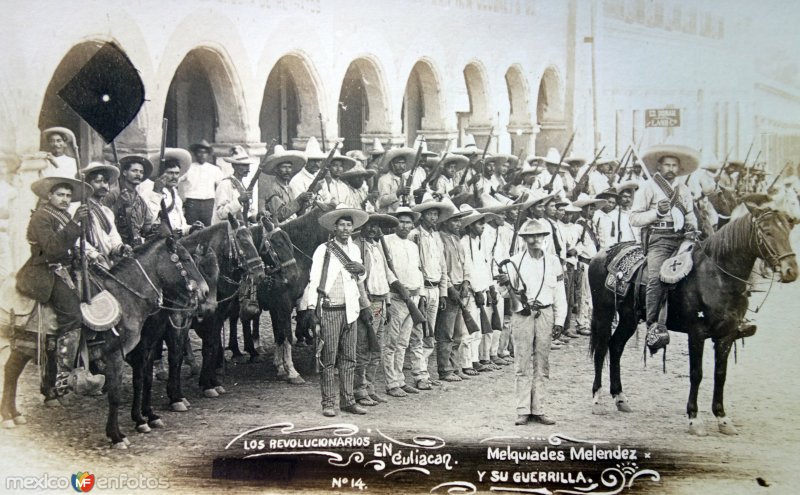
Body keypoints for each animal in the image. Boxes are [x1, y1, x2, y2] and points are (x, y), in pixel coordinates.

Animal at [588, 203, 792, 436]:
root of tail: (603, 254)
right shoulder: (696, 333)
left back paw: (620, 398)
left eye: (788, 230)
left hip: (630, 317)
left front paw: (722, 418)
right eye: (766, 232)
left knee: (616, 347)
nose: (791, 270)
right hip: (603, 313)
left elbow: (720, 374)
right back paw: (597, 400)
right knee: (601, 350)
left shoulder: (727, 334)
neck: (717, 277)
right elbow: (696, 373)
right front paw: (694, 419)